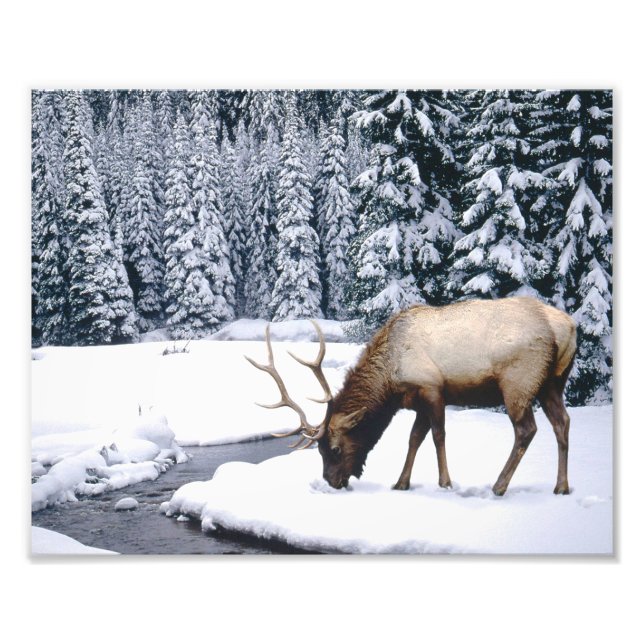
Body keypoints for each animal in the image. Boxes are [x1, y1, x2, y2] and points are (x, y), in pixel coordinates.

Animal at [246, 297, 577, 496]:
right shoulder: (417, 402)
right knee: (562, 422)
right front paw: (401, 483)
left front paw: (445, 483)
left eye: (335, 449)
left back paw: (499, 485)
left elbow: (438, 436)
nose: (331, 481)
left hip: (518, 382)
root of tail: (568, 327)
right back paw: (561, 486)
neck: (390, 381)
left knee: (526, 430)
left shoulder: (433, 388)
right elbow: (414, 438)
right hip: (552, 383)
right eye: (319, 450)